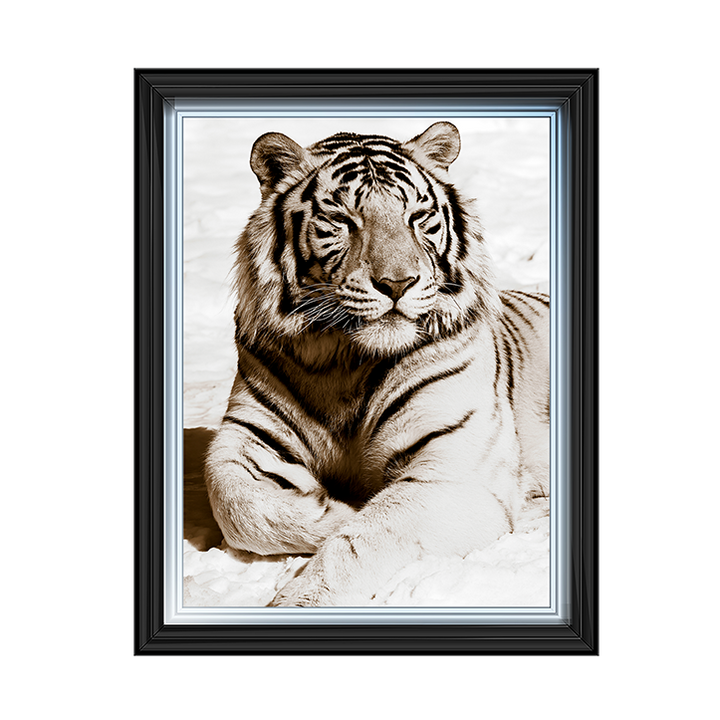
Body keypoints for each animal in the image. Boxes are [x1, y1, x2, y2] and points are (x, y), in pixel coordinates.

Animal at [204, 121, 550, 607]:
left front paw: (302, 597)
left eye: (417, 218)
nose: (398, 283)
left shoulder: (455, 471)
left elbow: (366, 538)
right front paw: (335, 508)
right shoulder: (246, 435)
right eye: (343, 221)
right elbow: (235, 504)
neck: (344, 360)